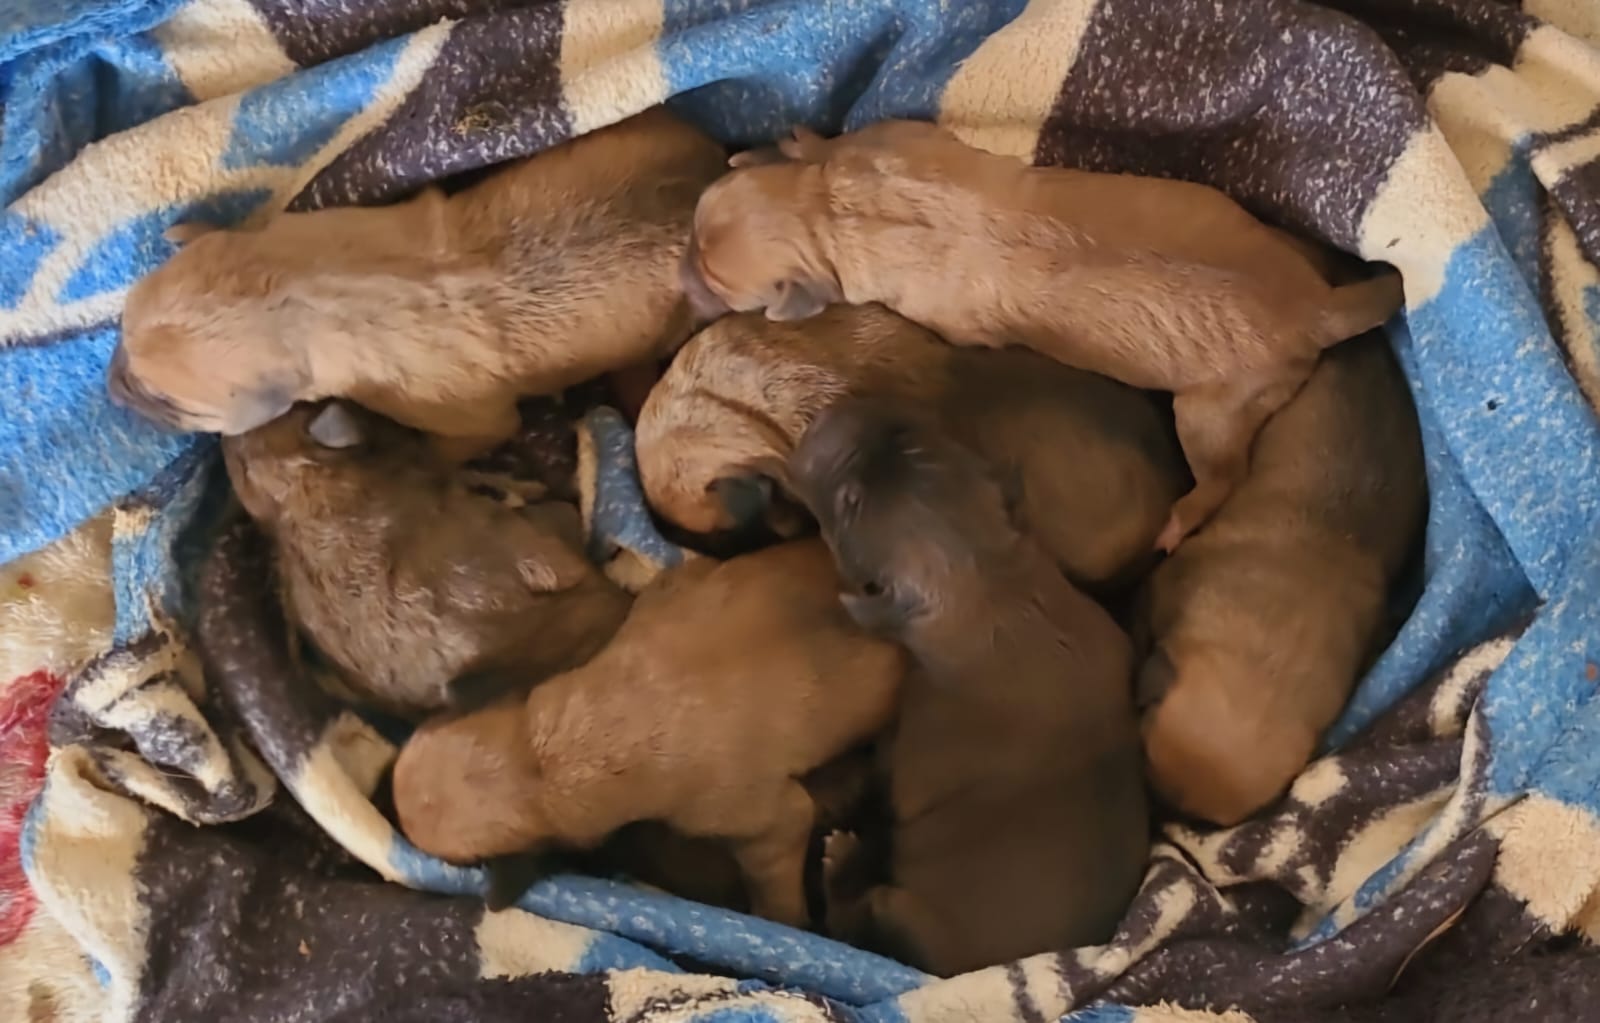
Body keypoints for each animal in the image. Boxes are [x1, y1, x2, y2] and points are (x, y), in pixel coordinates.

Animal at [111, 107, 725, 455]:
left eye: (169, 400)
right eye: (120, 332)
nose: (112, 387)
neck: (307, 291)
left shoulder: (468, 416)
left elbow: (468, 440)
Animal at [683, 119, 1402, 550]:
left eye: (716, 282)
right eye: (692, 233)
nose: (682, 276)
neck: (829, 210)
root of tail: (1314, 306)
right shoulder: (880, 144)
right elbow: (825, 144)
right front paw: (784, 144)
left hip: (1213, 412)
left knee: (1224, 474)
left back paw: (1180, 521)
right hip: (1263, 233)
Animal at [786, 398, 1150, 976]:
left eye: (851, 503)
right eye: (906, 430)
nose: (829, 416)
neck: (993, 585)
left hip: (908, 919)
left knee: (859, 918)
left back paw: (840, 865)